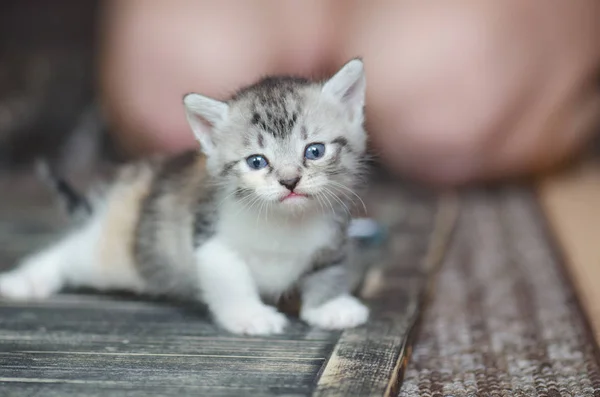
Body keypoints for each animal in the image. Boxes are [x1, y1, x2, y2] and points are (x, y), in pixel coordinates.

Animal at [0, 58, 370, 334]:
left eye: (315, 151)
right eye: (256, 161)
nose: (290, 181)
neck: (284, 222)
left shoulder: (333, 239)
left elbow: (329, 272)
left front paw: (329, 307)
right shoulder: (210, 240)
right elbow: (231, 279)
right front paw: (250, 316)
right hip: (111, 256)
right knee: (68, 251)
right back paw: (25, 280)